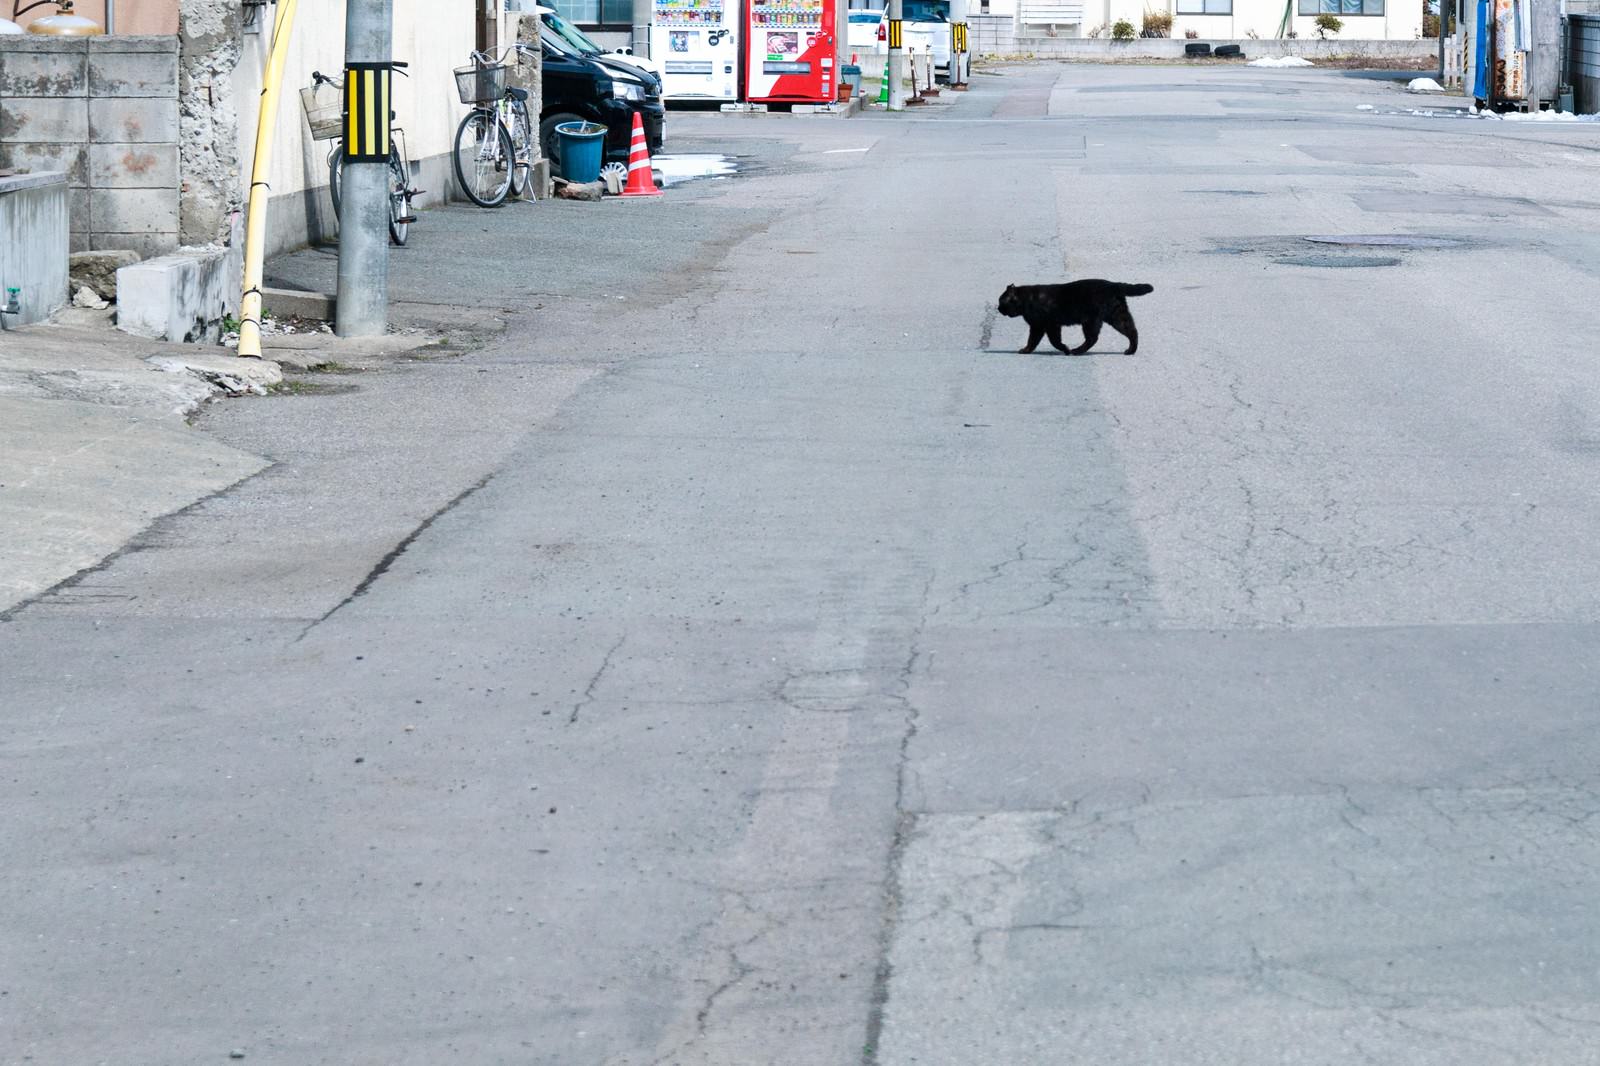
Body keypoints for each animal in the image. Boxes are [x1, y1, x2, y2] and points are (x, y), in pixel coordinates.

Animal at [998, 278, 1152, 352]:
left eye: (1001, 302)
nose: (998, 309)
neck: (1026, 299)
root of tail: (1113, 284)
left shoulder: (1047, 325)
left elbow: (1049, 341)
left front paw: (1065, 349)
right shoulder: (1043, 326)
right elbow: (1038, 340)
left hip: (1092, 320)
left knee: (1092, 338)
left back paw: (1076, 351)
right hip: (1116, 315)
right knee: (1132, 331)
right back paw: (1131, 350)